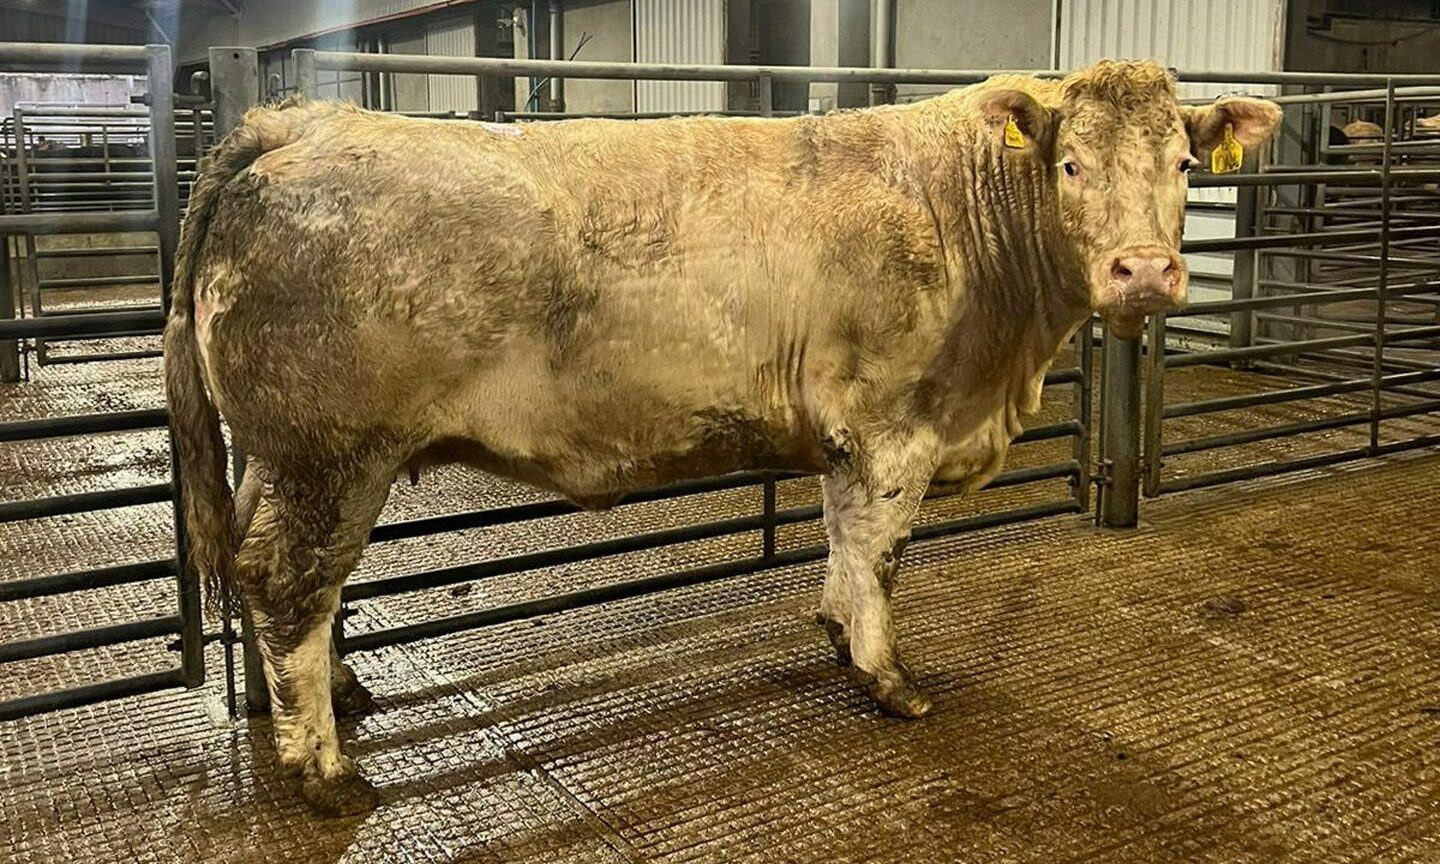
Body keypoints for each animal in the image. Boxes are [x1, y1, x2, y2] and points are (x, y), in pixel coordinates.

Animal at [164, 60, 1280, 816]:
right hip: (332, 455)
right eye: (1072, 163)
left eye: (1187, 163)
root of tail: (294, 125)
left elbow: (842, 543)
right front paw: (889, 680)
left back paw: (334, 700)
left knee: (275, 578)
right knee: (291, 586)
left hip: (282, 457)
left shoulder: (851, 438)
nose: (1146, 271)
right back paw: (322, 769)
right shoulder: (893, 425)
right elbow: (881, 555)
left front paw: (837, 633)